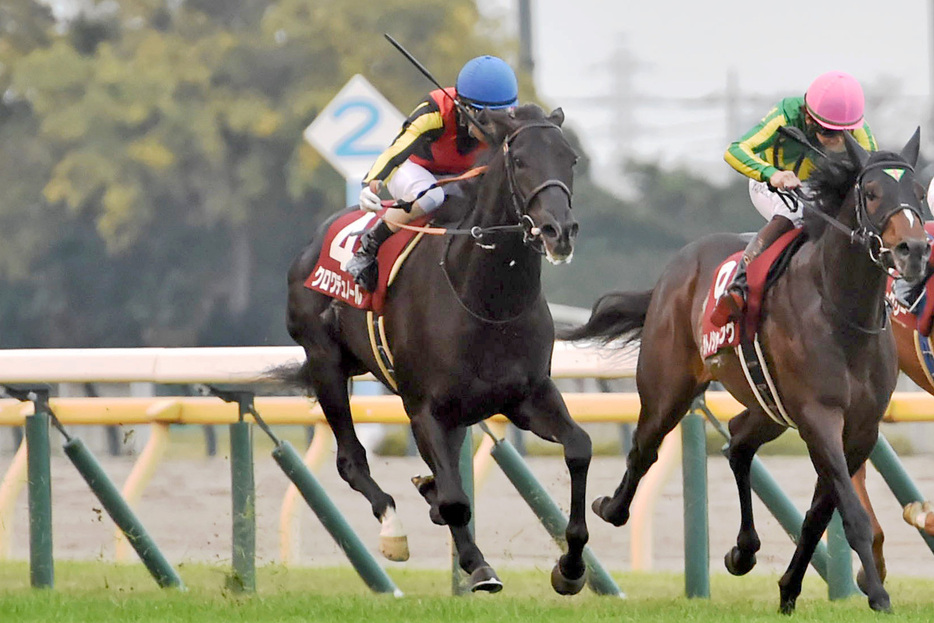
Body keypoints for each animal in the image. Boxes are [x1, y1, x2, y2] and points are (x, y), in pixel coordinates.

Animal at [286, 106, 592, 596]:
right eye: (520, 160)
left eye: (571, 159)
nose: (558, 231)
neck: (484, 300)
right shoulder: (425, 409)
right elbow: (454, 500)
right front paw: (478, 566)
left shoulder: (528, 396)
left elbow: (579, 448)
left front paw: (571, 567)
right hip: (325, 363)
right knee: (351, 460)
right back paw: (393, 528)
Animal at [560, 133, 932, 616]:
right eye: (870, 193)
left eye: (919, 192)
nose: (915, 251)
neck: (842, 311)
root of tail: (674, 268)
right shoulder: (820, 418)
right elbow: (851, 514)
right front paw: (880, 597)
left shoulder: (861, 429)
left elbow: (818, 516)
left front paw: (789, 590)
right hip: (669, 386)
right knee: (644, 449)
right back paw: (600, 522)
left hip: (768, 408)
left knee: (737, 443)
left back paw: (743, 550)